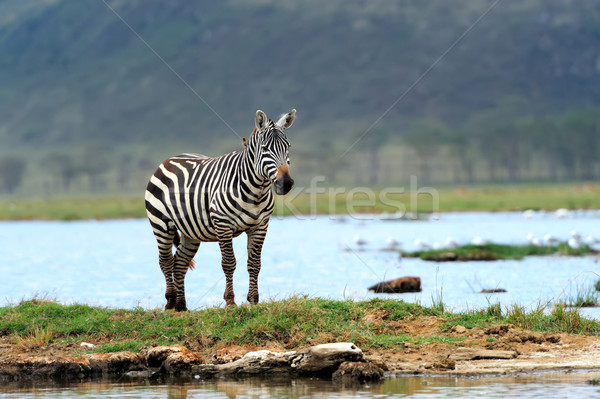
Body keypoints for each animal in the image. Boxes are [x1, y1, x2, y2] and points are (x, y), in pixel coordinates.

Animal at [145, 110, 296, 312]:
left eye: (287, 147)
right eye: (265, 149)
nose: (285, 183)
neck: (255, 191)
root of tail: (169, 160)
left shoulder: (260, 226)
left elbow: (254, 264)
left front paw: (254, 300)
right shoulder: (223, 224)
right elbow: (229, 263)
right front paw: (230, 301)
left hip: (190, 232)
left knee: (180, 263)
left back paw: (181, 306)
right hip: (161, 224)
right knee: (166, 261)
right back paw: (170, 302)